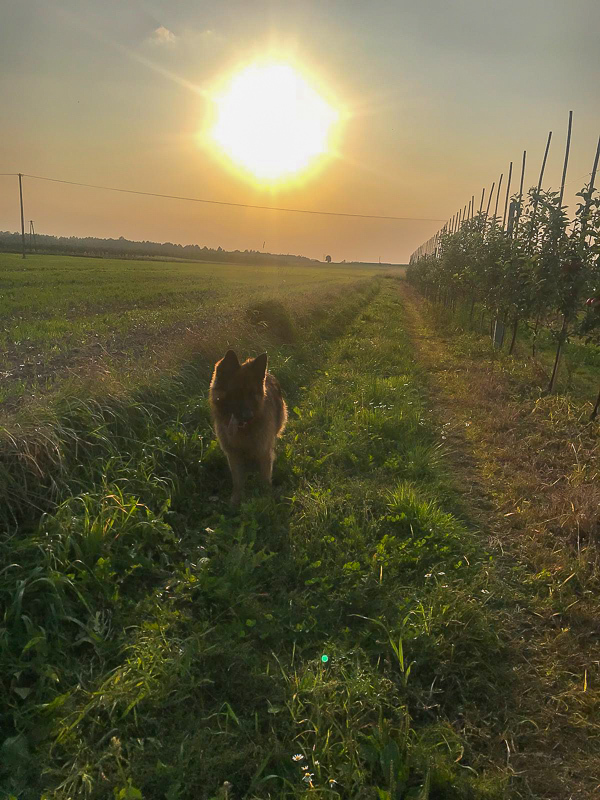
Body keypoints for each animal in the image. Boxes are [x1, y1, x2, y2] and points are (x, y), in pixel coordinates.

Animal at [210, 352, 288, 504]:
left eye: (252, 394)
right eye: (236, 393)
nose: (248, 416)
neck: (244, 431)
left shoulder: (263, 451)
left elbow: (265, 478)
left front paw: (266, 497)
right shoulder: (233, 455)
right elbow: (237, 480)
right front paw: (236, 500)